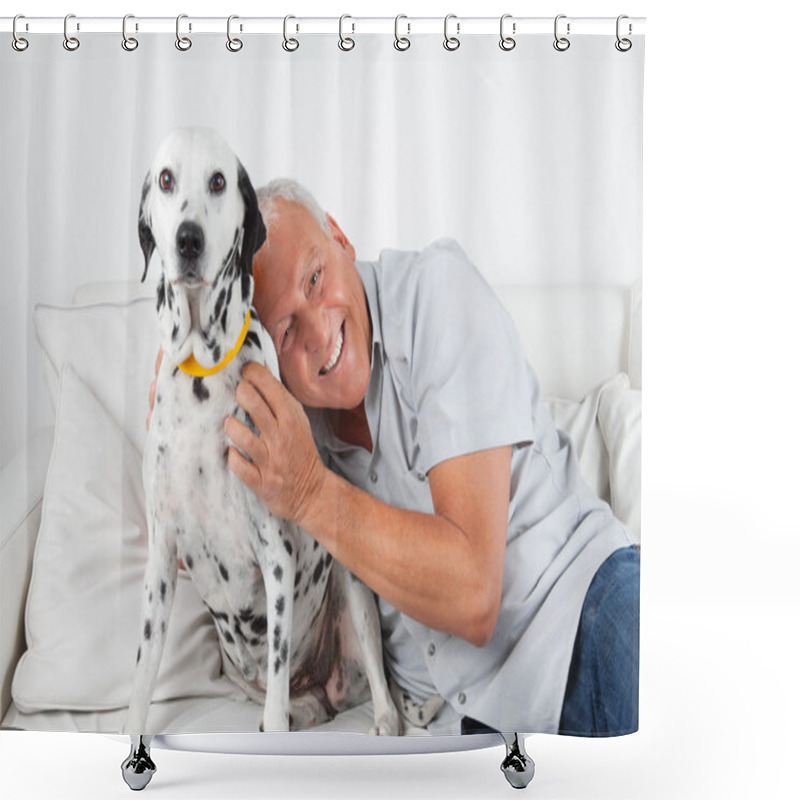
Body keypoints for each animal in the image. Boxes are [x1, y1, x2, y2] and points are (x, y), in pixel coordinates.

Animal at [124, 130, 400, 736]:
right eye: (166, 179)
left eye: (219, 181)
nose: (188, 239)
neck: (202, 378)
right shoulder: (161, 562)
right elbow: (140, 685)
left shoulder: (275, 554)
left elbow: (274, 692)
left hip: (354, 590)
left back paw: (383, 719)